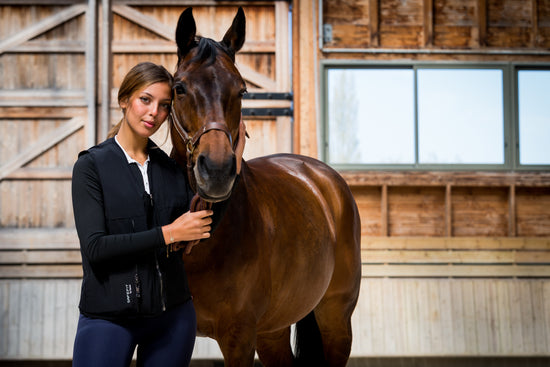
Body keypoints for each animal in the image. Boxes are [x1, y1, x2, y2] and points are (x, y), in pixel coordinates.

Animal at [170, 7, 364, 366]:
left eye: (242, 91)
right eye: (179, 88)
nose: (216, 170)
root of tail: (323, 178)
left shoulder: (239, 338)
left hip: (335, 321)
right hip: (273, 332)